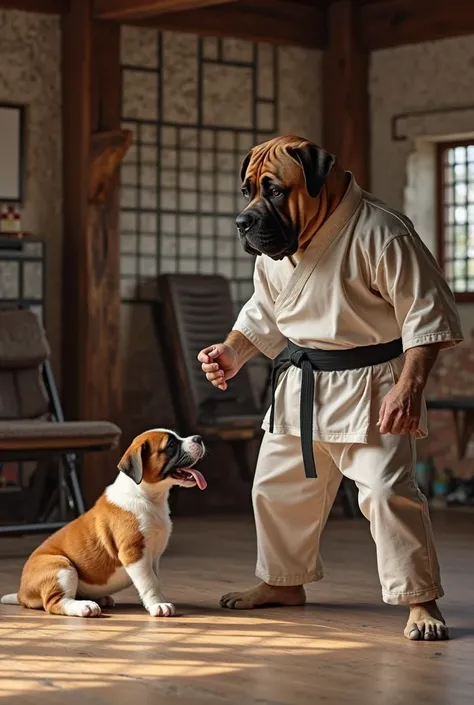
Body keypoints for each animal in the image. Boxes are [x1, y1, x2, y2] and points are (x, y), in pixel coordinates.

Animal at [1, 424, 206, 616]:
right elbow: (149, 582)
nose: (199, 438)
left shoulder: (153, 557)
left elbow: (153, 579)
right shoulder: (134, 553)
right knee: (56, 602)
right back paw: (85, 607)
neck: (147, 496)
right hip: (61, 566)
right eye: (171, 445)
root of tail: (22, 592)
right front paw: (158, 605)